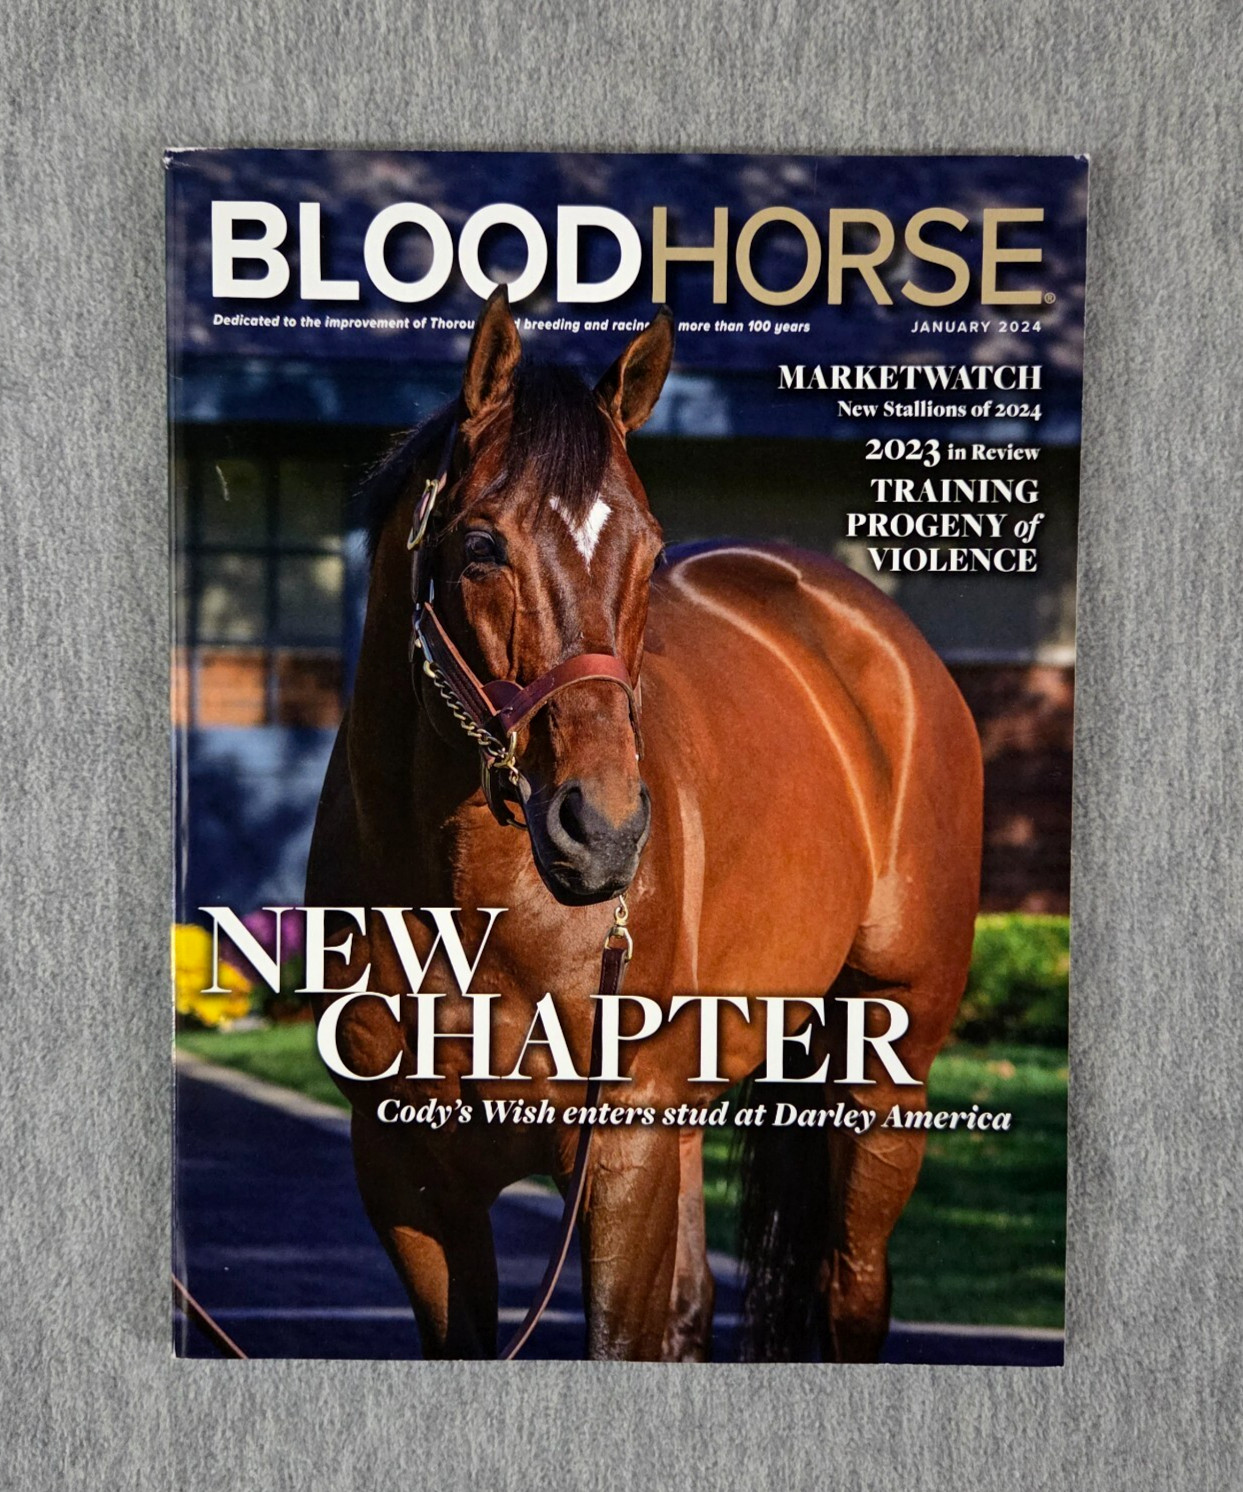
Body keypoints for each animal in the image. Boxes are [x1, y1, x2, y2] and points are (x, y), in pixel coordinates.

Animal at [306, 287, 982, 1362]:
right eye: (481, 546)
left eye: (649, 547)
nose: (604, 831)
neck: (470, 912)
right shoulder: (409, 1179)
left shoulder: (619, 1151)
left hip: (885, 1073)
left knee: (850, 1287)